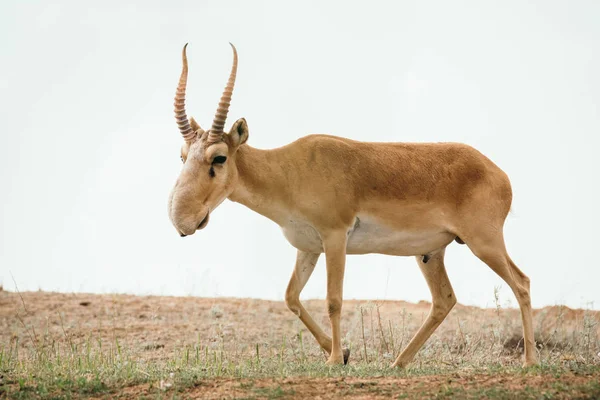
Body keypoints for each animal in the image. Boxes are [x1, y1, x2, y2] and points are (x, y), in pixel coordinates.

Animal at [169, 42, 540, 368]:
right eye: (183, 155)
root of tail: (498, 173)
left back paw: (529, 362)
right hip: (431, 253)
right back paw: (398, 362)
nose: (182, 221)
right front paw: (344, 353)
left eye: (219, 157)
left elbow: (334, 299)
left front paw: (334, 359)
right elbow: (291, 297)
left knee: (521, 283)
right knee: (444, 300)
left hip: (483, 243)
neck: (291, 169)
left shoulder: (335, 238)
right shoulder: (308, 247)